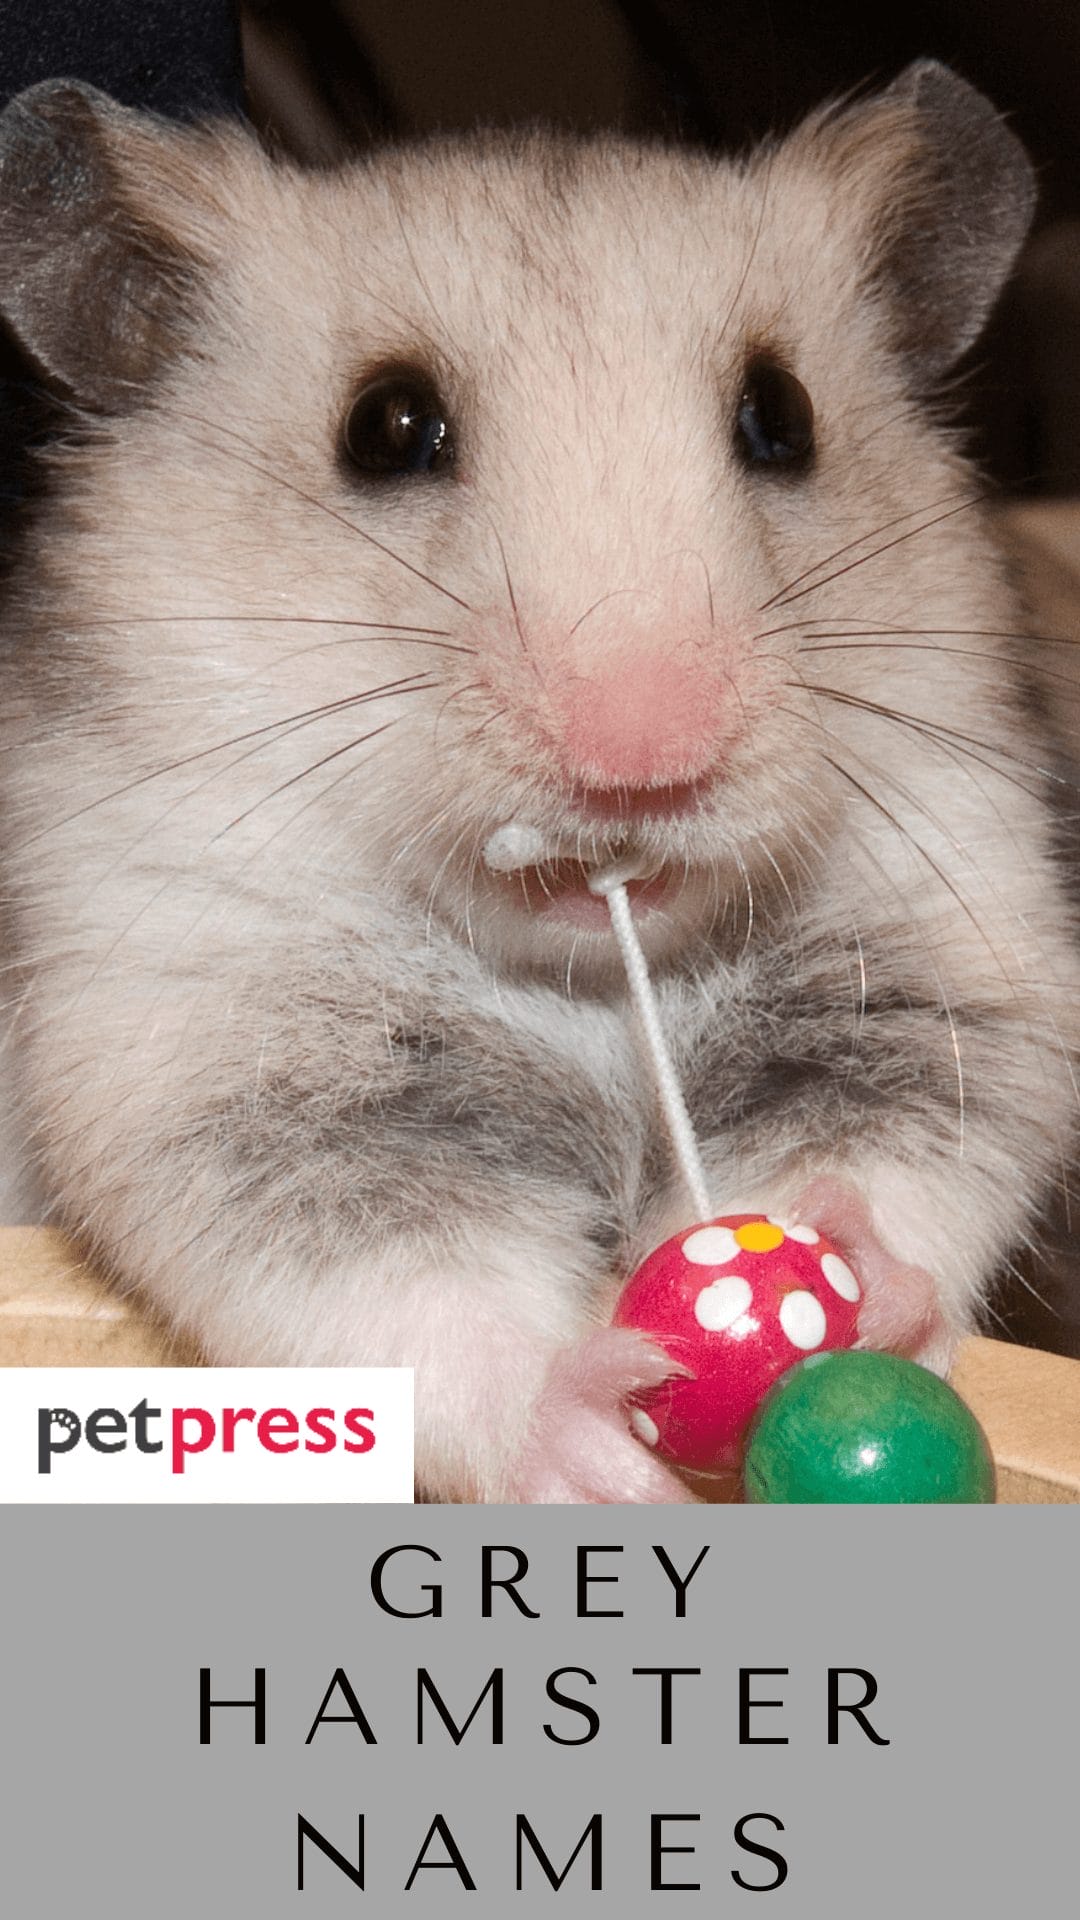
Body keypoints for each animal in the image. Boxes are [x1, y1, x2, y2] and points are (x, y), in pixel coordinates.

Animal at [0, 61, 1076, 1501]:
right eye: (386, 427)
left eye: (782, 417)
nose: (645, 759)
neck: (589, 985)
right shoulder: (221, 1065)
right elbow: (423, 1302)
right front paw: (597, 1443)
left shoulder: (933, 979)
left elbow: (890, 1160)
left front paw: (858, 1270)